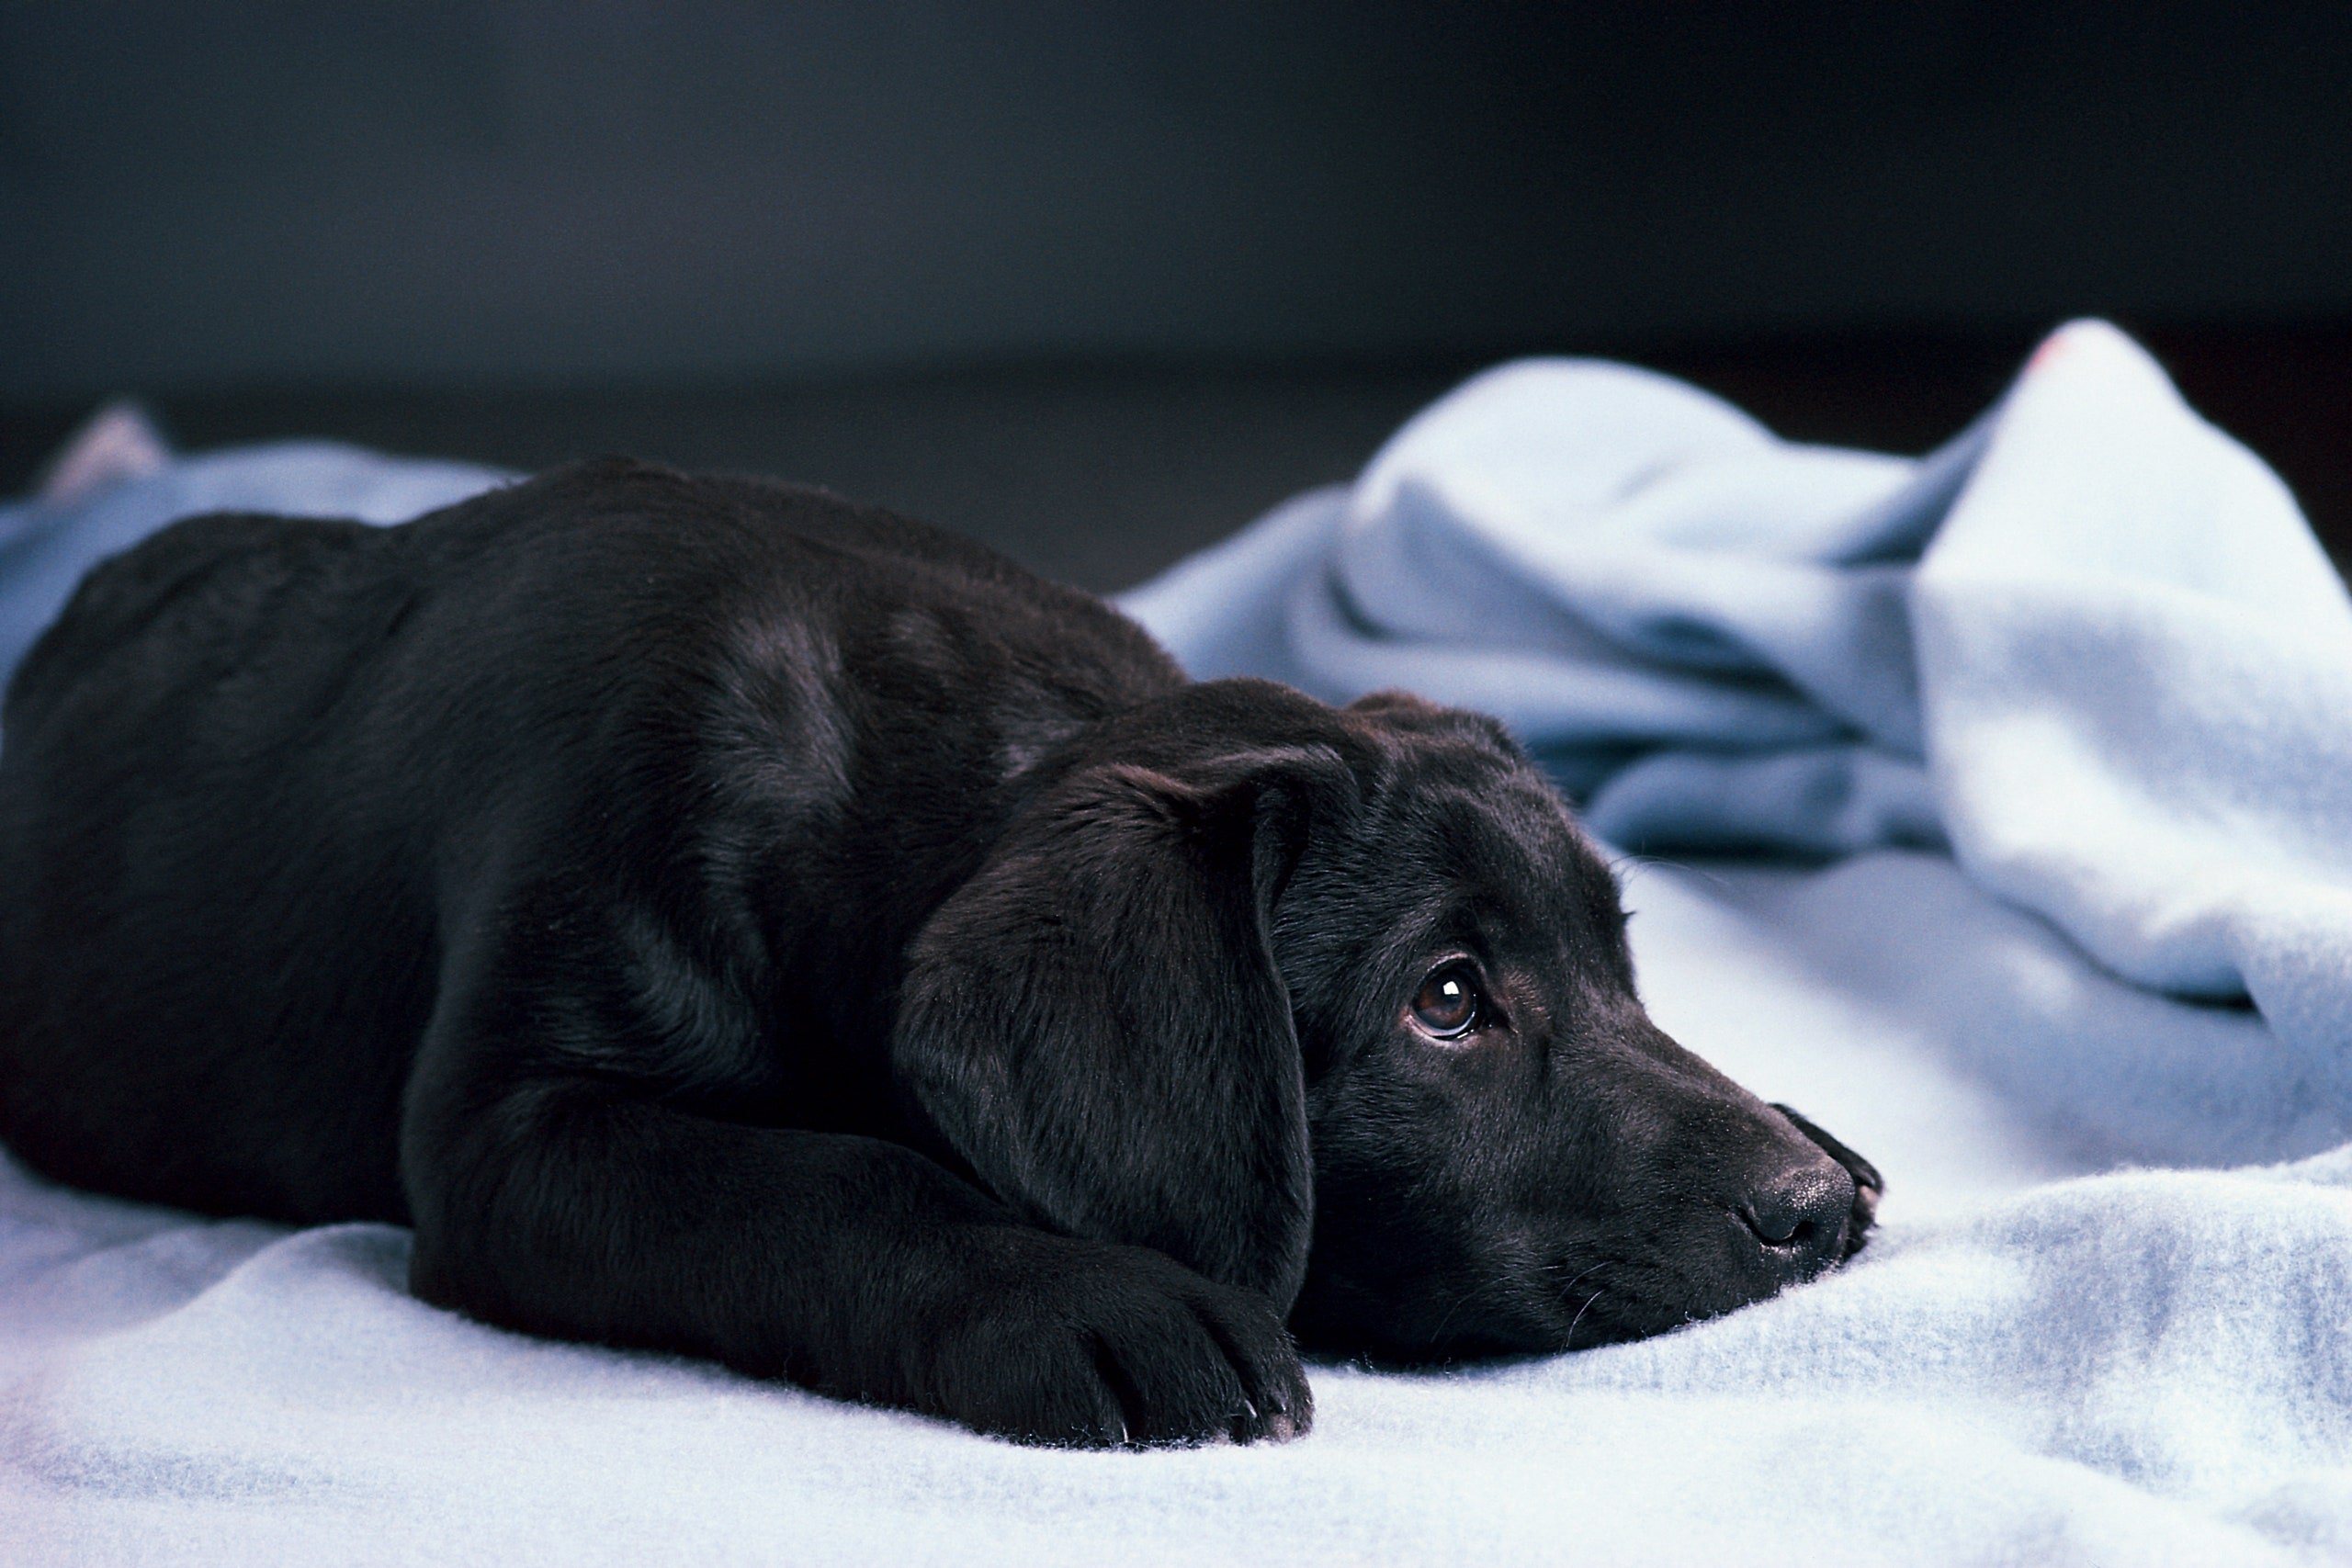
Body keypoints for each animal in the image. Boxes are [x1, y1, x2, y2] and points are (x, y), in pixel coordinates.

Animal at [0, 459, 1878, 1446]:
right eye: (1448, 1001)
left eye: (1623, 960)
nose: (1805, 1210)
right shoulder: (516, 1133)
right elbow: (827, 1179)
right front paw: (1084, 1298)